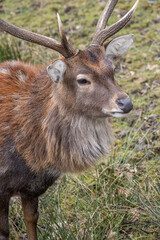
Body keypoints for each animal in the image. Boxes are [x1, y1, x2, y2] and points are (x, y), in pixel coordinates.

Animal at [0, 0, 138, 239]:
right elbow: (4, 231)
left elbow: (31, 220)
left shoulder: (31, 188)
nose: (125, 103)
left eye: (113, 68)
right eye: (82, 80)